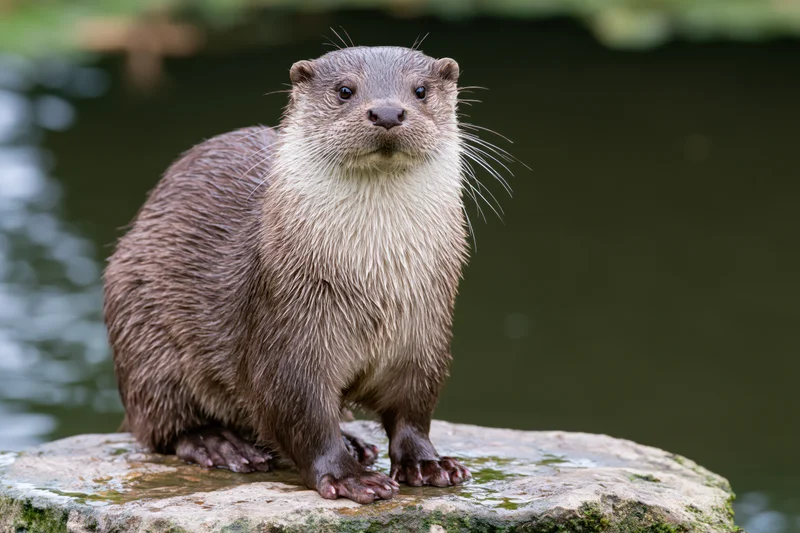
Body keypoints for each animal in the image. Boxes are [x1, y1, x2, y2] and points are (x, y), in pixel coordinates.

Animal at [104, 45, 477, 504]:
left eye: (420, 90)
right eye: (345, 90)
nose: (388, 111)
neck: (375, 281)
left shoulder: (424, 336)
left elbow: (414, 410)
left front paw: (427, 463)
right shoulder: (290, 331)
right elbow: (300, 413)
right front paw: (349, 476)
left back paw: (356, 441)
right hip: (143, 336)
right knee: (161, 425)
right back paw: (221, 444)